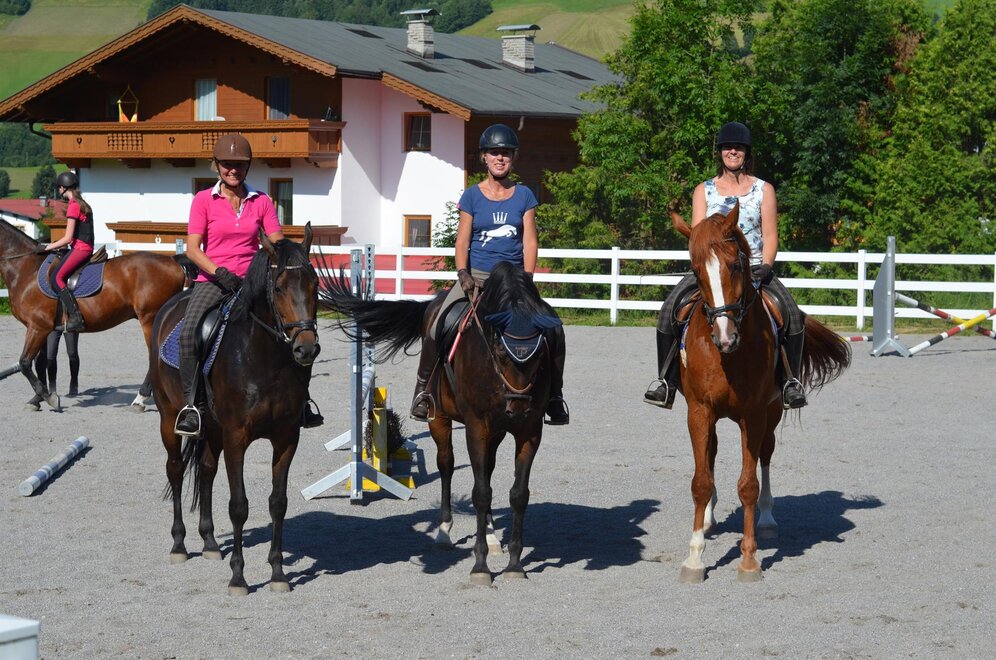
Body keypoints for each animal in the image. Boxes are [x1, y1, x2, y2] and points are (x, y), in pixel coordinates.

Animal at [0, 218, 194, 411]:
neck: (26, 268)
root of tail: (172, 260)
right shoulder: (42, 328)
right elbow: (39, 363)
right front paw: (36, 399)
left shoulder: (38, 327)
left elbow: (25, 363)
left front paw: (50, 398)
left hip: (150, 319)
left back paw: (141, 398)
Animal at [149, 225, 319, 595]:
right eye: (279, 287)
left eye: (314, 283)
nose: (306, 349)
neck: (266, 359)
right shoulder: (237, 438)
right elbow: (239, 506)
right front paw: (239, 577)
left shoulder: (286, 438)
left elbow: (278, 503)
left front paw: (278, 574)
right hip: (169, 418)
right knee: (175, 469)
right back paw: (180, 544)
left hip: (212, 427)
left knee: (206, 470)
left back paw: (210, 543)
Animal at [320, 260, 560, 585]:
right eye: (500, 352)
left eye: (539, 356)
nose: (518, 408)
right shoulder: (476, 427)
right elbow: (480, 493)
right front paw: (480, 567)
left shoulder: (529, 432)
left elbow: (518, 494)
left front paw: (513, 564)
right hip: (441, 419)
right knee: (446, 465)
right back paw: (444, 532)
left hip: (497, 432)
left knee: (486, 470)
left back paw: (491, 535)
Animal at [670, 205, 850, 583]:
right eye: (695, 270)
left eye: (736, 266)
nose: (725, 337)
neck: (727, 355)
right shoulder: (699, 411)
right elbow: (701, 481)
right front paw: (694, 558)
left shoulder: (753, 415)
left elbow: (748, 484)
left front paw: (749, 559)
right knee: (710, 455)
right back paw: (708, 519)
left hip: (773, 411)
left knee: (765, 456)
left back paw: (767, 520)